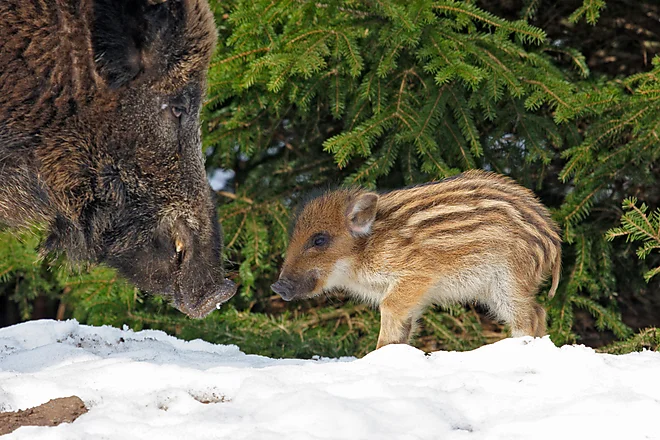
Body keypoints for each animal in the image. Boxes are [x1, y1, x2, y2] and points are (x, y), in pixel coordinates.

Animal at [271, 170, 562, 349]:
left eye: (319, 240)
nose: (277, 286)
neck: (364, 251)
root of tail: (553, 237)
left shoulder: (415, 276)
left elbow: (389, 309)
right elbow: (405, 327)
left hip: (510, 280)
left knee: (530, 316)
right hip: (493, 289)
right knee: (538, 311)